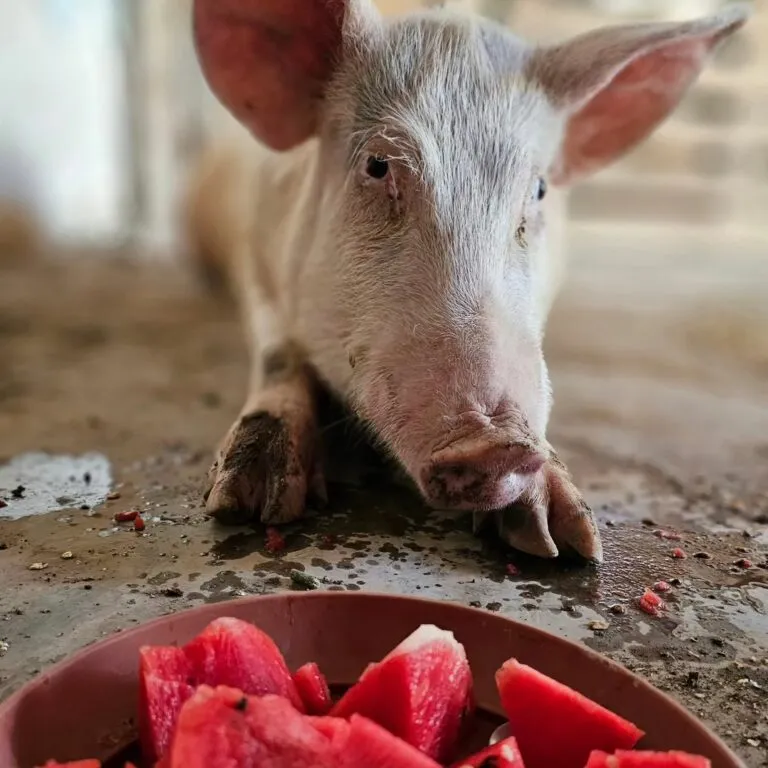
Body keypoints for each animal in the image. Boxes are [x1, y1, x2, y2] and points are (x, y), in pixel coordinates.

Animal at [186, 0, 752, 564]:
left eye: (539, 189)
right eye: (377, 165)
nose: (497, 444)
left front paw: (564, 541)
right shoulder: (252, 251)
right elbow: (278, 349)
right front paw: (248, 500)